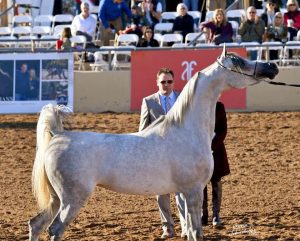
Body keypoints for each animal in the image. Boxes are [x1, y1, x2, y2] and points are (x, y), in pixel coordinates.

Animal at [28, 46, 278, 240]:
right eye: (238, 62)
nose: (272, 66)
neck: (186, 131)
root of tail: (58, 136)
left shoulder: (185, 193)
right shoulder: (193, 191)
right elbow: (196, 232)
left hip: (56, 199)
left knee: (36, 225)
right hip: (72, 199)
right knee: (54, 229)